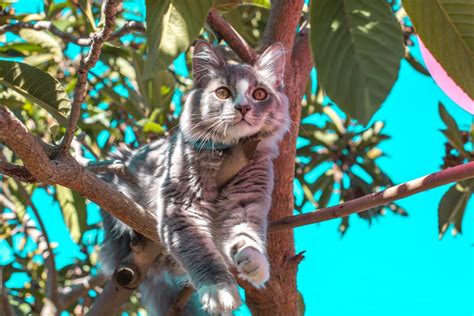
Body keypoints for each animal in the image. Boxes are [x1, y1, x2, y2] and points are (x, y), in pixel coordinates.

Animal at [100, 39, 288, 314]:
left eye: (260, 94)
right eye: (223, 93)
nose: (243, 107)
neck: (227, 155)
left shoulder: (245, 202)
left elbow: (247, 236)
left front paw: (254, 263)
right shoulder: (182, 207)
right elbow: (200, 253)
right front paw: (219, 291)